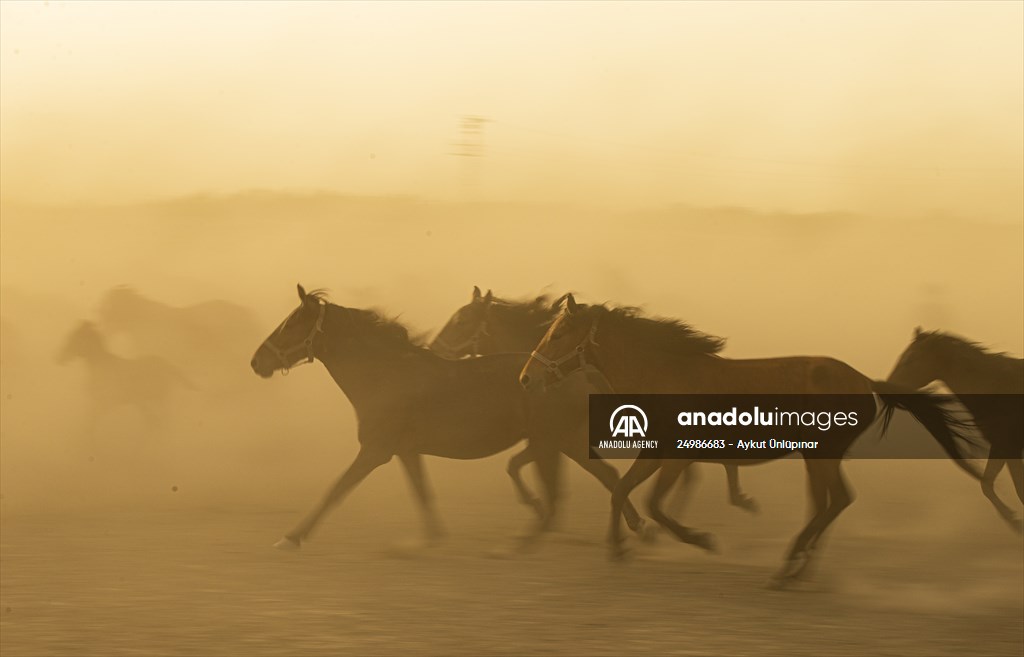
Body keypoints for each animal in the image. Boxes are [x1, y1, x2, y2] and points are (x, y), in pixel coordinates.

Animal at [57, 321, 195, 438]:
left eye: (74, 338)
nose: (59, 358)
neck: (100, 366)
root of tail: (167, 365)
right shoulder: (99, 402)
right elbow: (90, 424)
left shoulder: (104, 402)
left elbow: (90, 425)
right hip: (151, 399)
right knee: (156, 421)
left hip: (160, 398)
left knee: (164, 420)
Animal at [250, 284, 641, 550]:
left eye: (291, 325)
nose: (256, 361)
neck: (385, 375)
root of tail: (579, 372)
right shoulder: (405, 451)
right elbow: (423, 493)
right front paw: (429, 540)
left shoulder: (375, 451)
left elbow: (336, 489)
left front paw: (291, 537)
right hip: (564, 440)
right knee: (606, 475)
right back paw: (633, 527)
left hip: (553, 441)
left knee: (575, 485)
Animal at [518, 295, 984, 588]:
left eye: (557, 334)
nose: (526, 377)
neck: (664, 375)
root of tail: (865, 381)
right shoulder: (656, 454)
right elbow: (620, 491)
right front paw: (618, 547)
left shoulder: (676, 458)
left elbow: (654, 504)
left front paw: (700, 539)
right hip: (818, 457)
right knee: (827, 503)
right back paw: (799, 569)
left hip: (823, 454)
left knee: (836, 501)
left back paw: (787, 569)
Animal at [888, 327, 1023, 533]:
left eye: (910, 359)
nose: (886, 387)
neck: (998, 388)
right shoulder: (1002, 447)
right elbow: (988, 483)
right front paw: (1015, 521)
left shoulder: (1007, 445)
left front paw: (1015, 522)